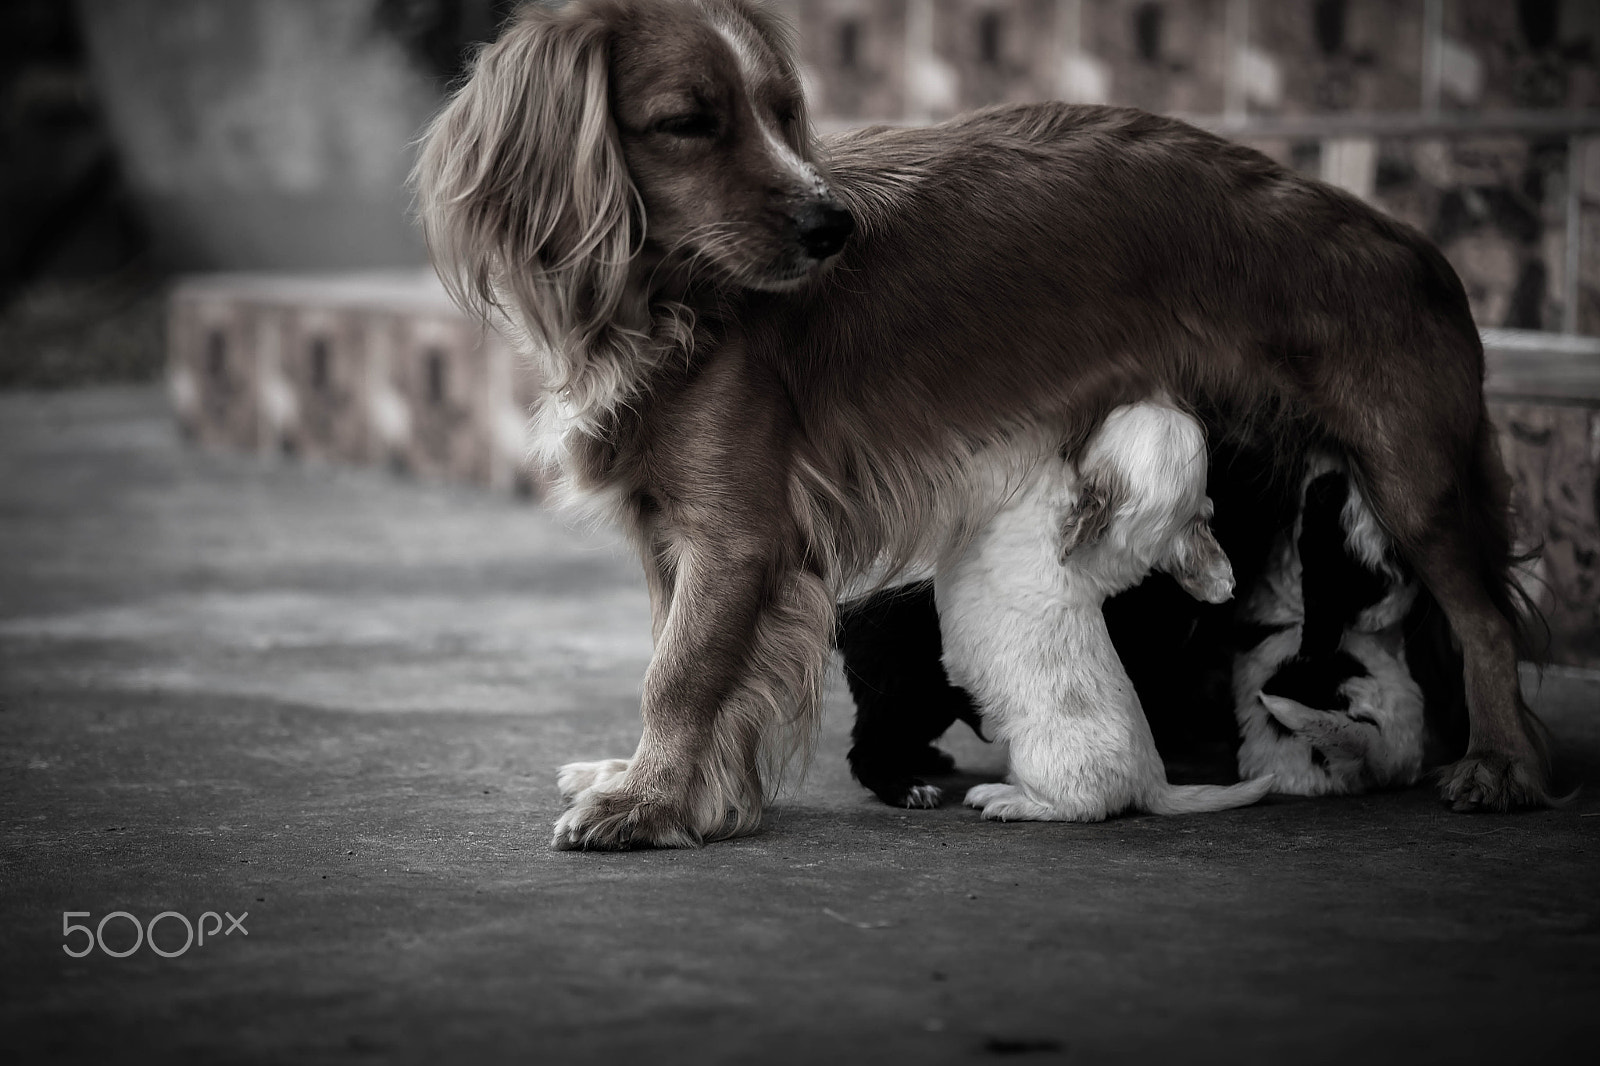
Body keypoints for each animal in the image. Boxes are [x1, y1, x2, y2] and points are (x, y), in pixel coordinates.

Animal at [934, 403, 1273, 816]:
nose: (1161, 399)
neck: (1106, 544)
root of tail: (1153, 782)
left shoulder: (1011, 485)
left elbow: (1006, 456)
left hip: (1040, 756)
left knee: (1077, 806)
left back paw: (1006, 800)